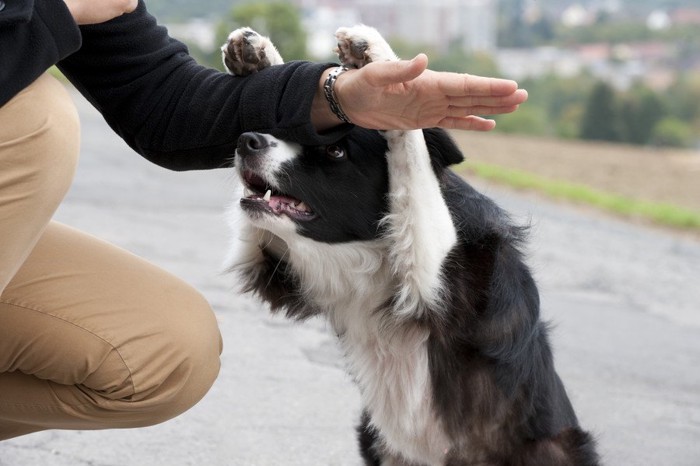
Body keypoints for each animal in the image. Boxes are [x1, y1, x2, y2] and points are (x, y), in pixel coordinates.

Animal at [221, 26, 600, 466]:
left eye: (336, 150)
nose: (246, 140)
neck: (373, 249)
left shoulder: (439, 276)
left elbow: (410, 153)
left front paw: (380, 61)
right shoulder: (273, 267)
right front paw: (257, 54)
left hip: (548, 448)